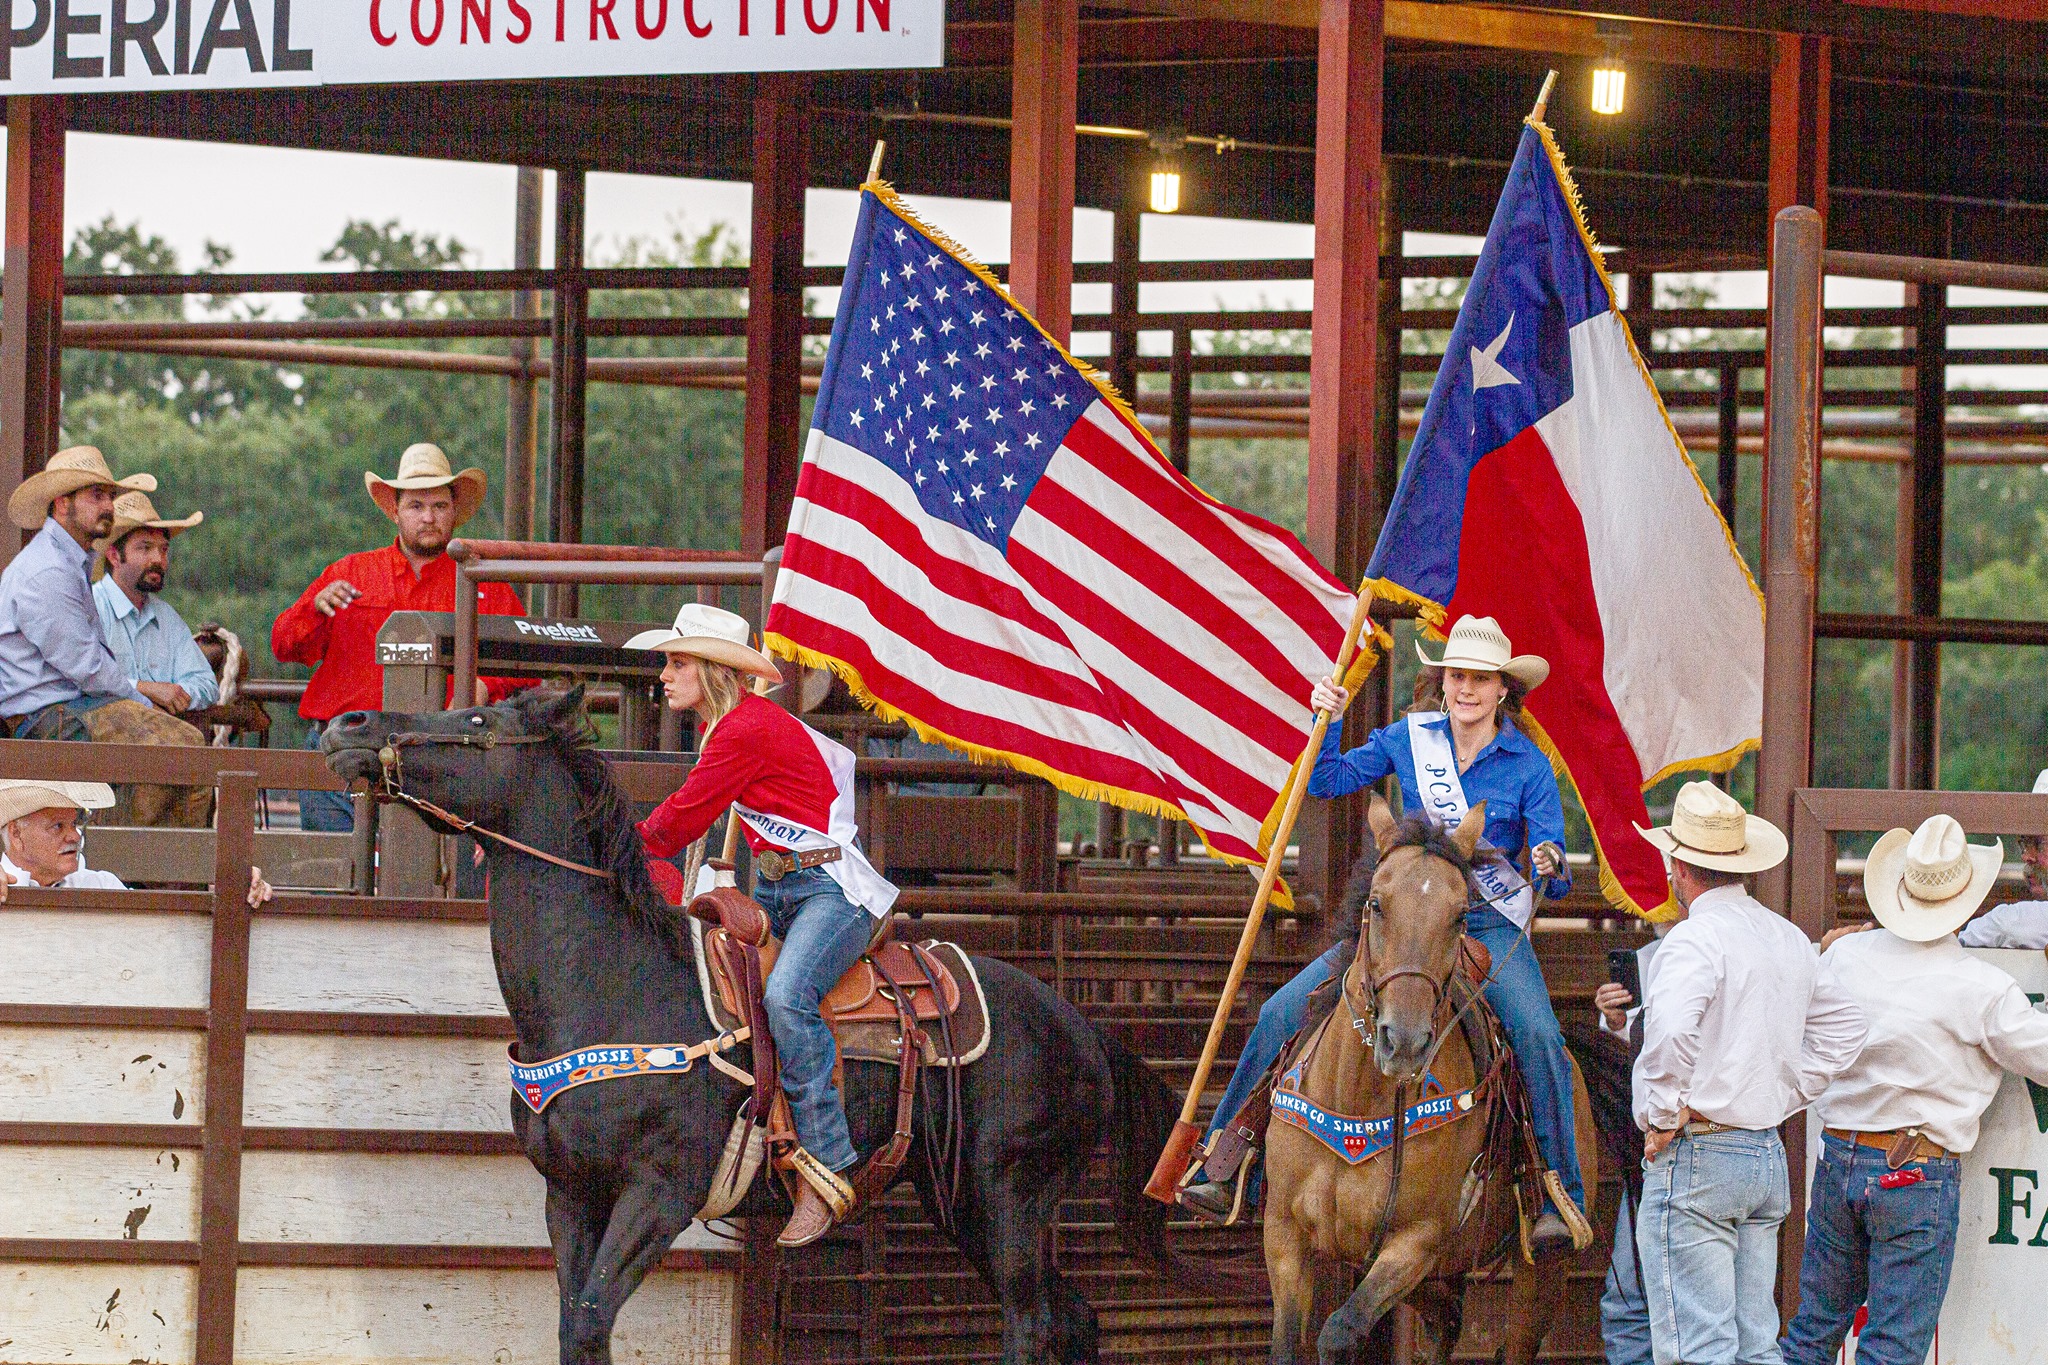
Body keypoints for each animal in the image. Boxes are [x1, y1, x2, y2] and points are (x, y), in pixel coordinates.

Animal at [319, 685, 1225, 1365]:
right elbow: (578, 1326)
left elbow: (590, 1319)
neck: (610, 982)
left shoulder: (660, 1189)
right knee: (1072, 1318)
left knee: (1033, 1323)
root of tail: (1084, 1028)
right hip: (961, 1198)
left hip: (1011, 1196)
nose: (347, 724)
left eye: (477, 721)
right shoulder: (569, 1193)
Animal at [1262, 795, 1600, 1365]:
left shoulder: (1416, 1241)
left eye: (1461, 915)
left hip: (1538, 1278)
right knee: (1447, 1322)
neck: (1357, 1105)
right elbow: (1289, 1344)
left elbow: (1339, 1330)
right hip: (1440, 1278)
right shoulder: (1284, 1236)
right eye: (1376, 904)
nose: (1404, 1042)